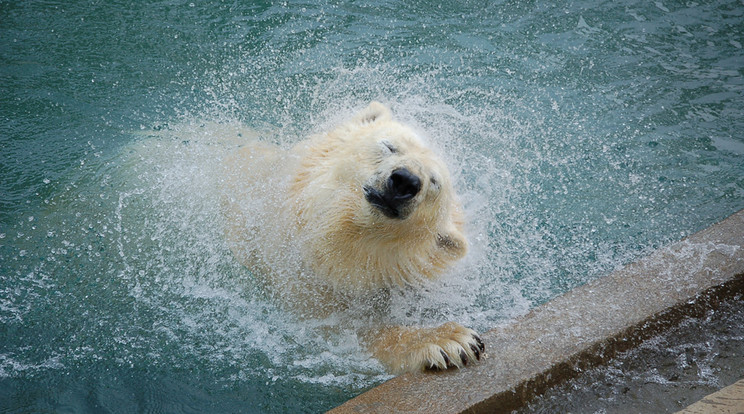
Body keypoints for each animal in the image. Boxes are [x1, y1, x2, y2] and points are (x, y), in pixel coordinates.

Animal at [224, 102, 486, 374]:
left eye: (435, 183)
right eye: (389, 145)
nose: (405, 180)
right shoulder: (296, 278)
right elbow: (343, 330)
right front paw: (449, 340)